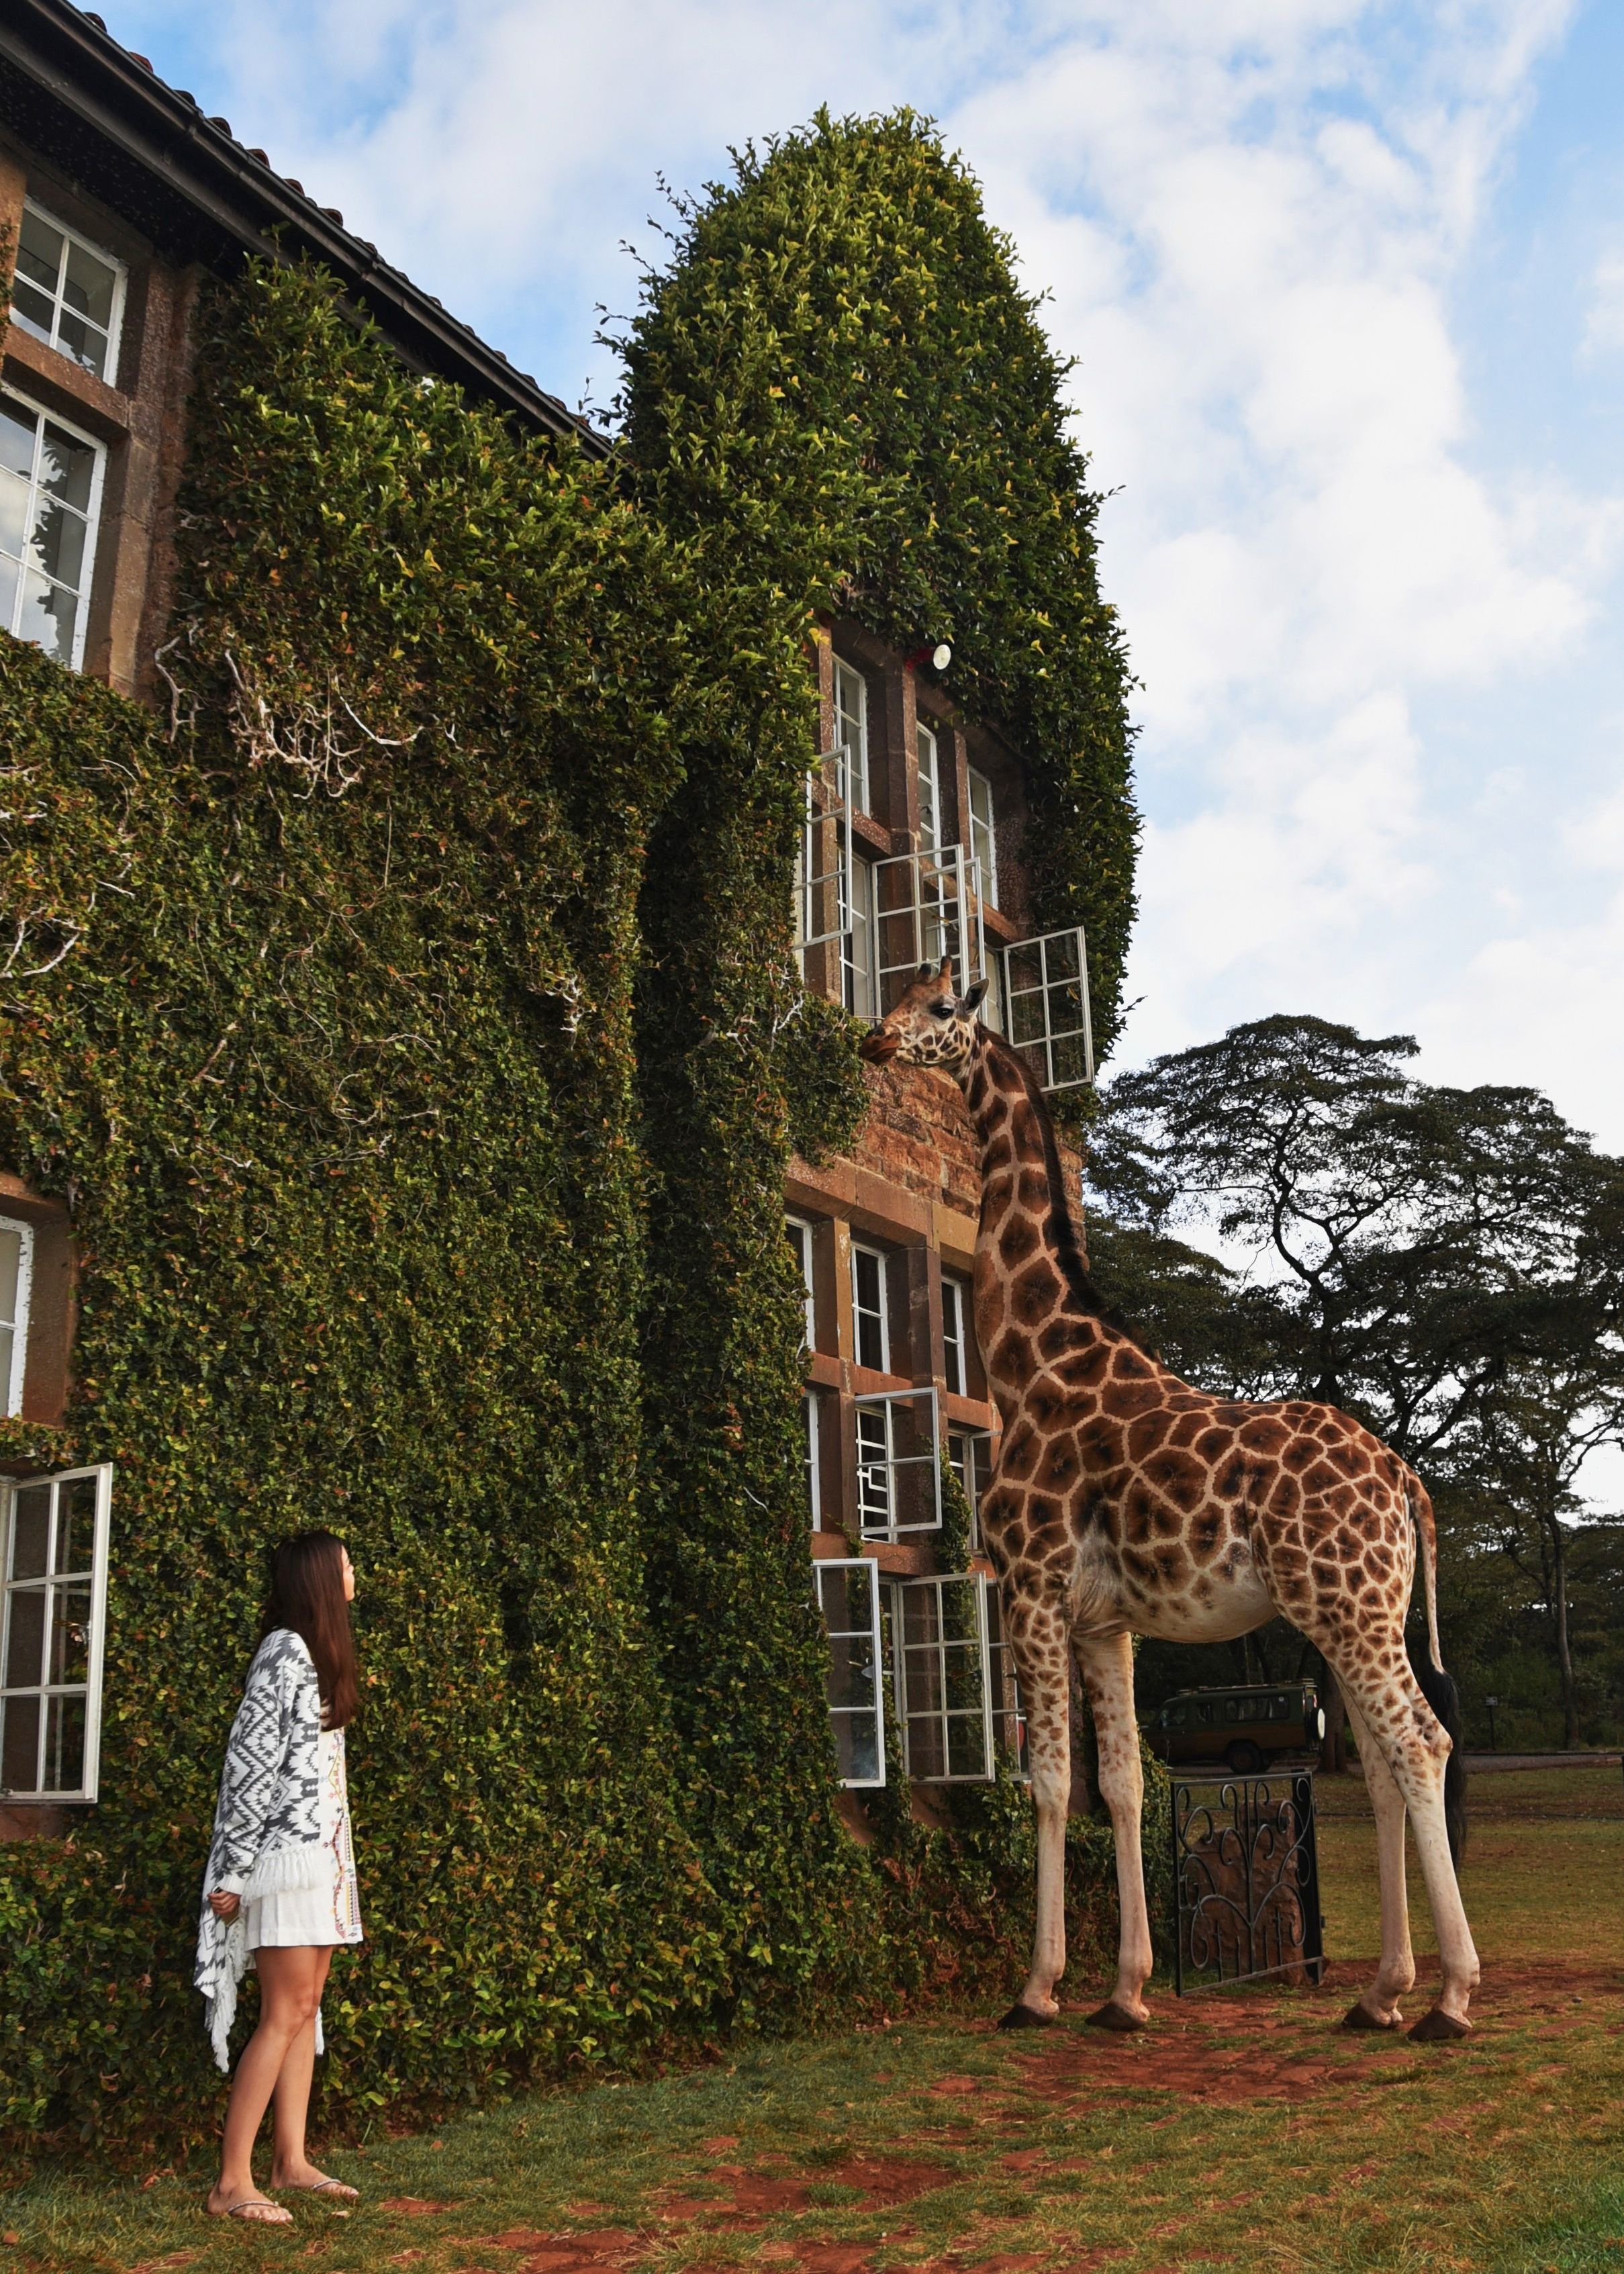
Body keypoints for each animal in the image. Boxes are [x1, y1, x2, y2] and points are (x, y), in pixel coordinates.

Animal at [860, 961, 1478, 2043]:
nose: (875, 1041)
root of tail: (1403, 1479)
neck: (1029, 1364)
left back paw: (1447, 1998)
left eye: (938, 1006)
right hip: (1349, 1610)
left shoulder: (1030, 1586)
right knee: (1380, 1757)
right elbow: (1122, 1785)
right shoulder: (1106, 1620)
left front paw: (1035, 1989)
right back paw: (1378, 1994)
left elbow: (1048, 1782)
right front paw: (1125, 1990)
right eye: (893, 989)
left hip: (1347, 1607)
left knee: (1417, 1739)